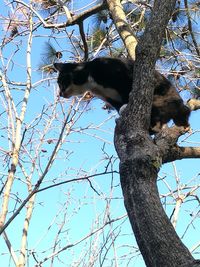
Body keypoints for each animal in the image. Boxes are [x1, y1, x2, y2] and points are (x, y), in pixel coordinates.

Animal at [53, 57, 191, 135]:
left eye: (61, 82)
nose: (60, 94)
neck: (92, 80)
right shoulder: (110, 98)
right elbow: (118, 106)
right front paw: (122, 111)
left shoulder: (124, 74)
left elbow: (129, 92)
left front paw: (126, 106)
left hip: (159, 100)